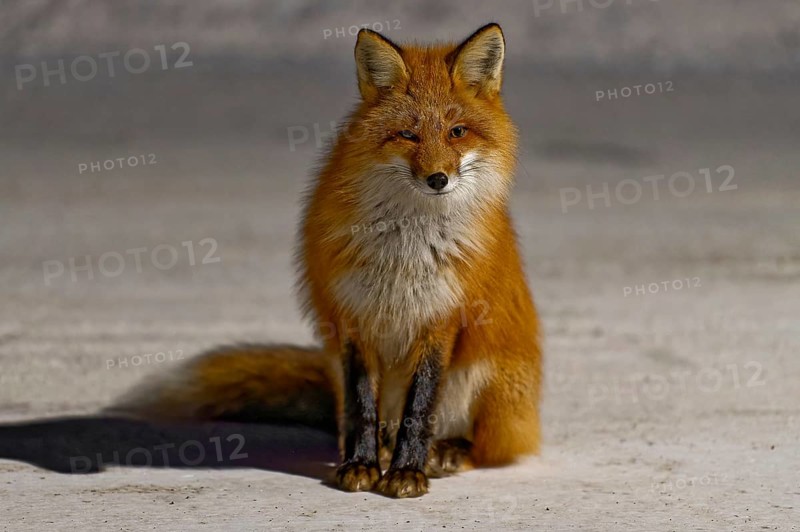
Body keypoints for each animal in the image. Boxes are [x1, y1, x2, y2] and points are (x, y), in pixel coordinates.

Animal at [110, 23, 541, 498]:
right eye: (407, 135)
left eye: (457, 132)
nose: (438, 179)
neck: (406, 248)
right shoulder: (350, 315)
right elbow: (360, 405)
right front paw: (362, 464)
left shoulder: (441, 318)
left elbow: (421, 407)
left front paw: (408, 472)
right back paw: (384, 451)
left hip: (488, 379)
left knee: (486, 446)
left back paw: (447, 451)